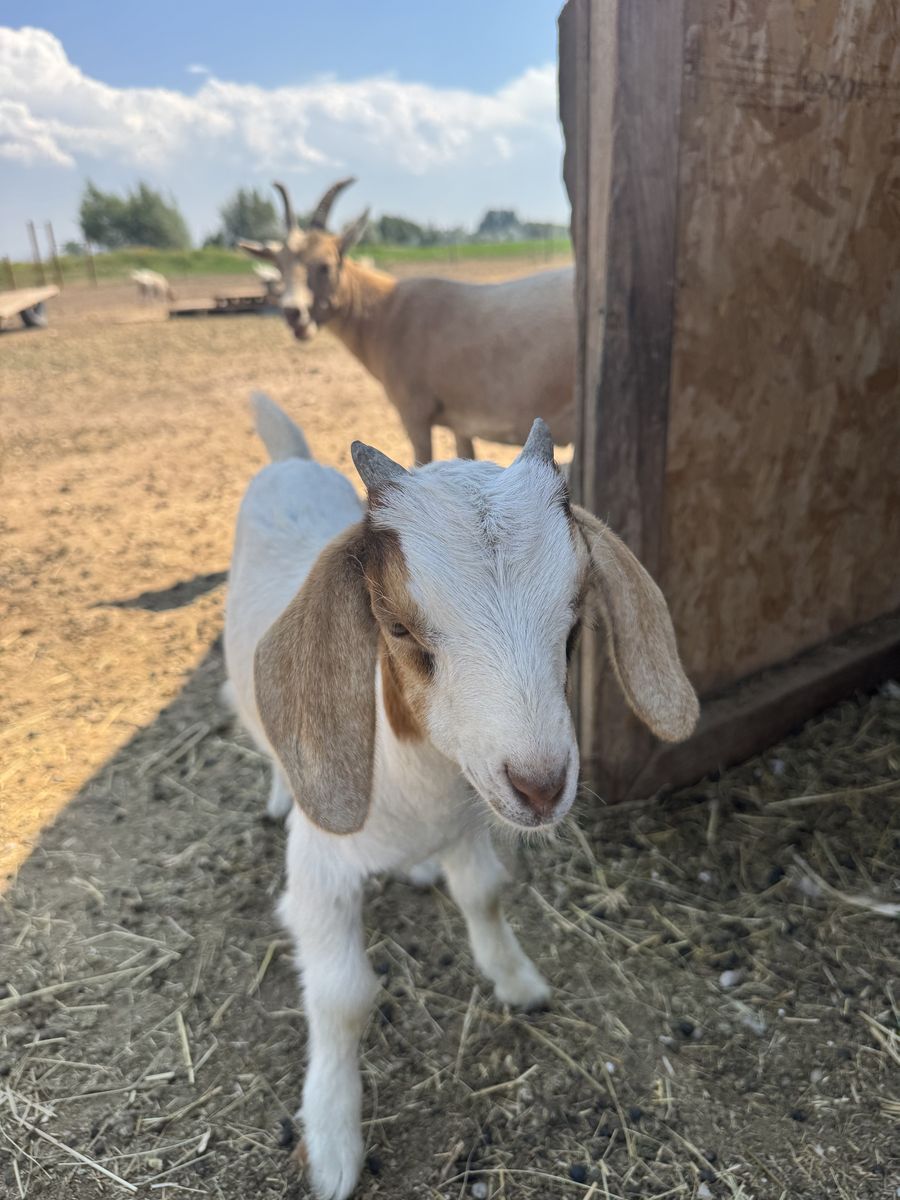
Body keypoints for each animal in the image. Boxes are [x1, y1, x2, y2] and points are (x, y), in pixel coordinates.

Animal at [224, 393, 698, 1199]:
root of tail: (288, 459)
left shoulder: (470, 821)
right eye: (397, 626)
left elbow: (484, 892)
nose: (540, 784)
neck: (415, 786)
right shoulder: (319, 876)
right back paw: (282, 793)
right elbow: (344, 997)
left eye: (576, 617)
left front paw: (516, 980)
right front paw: (332, 1143)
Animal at [238, 181, 576, 463]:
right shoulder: (461, 423)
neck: (388, 311)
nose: (294, 313)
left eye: (325, 265)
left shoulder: (414, 414)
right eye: (280, 265)